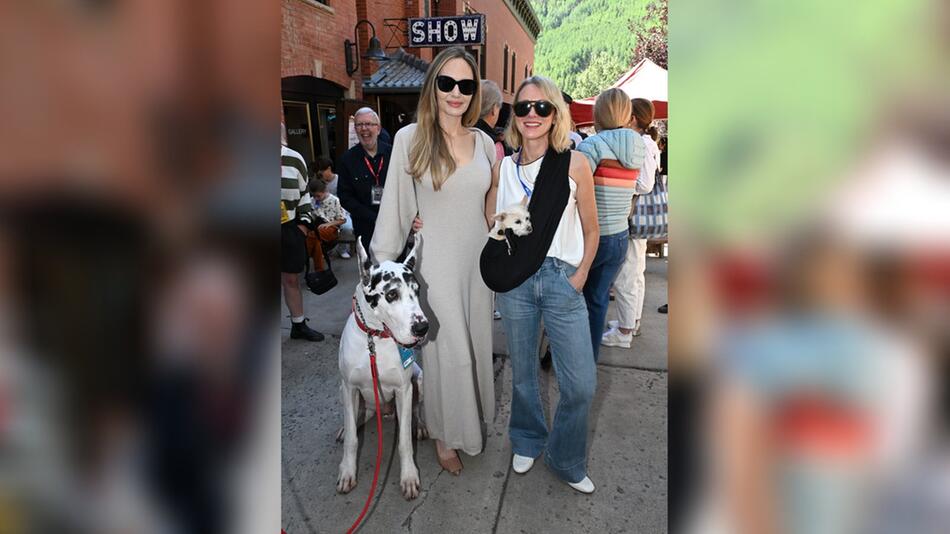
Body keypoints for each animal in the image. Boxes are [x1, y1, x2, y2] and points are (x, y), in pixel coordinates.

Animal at [340, 237, 430, 500]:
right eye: (391, 294)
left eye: (417, 291)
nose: (423, 328)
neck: (375, 340)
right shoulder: (349, 387)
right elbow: (352, 439)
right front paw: (347, 472)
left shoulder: (404, 389)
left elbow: (404, 442)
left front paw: (409, 477)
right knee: (359, 416)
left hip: (420, 380)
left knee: (416, 410)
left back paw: (420, 425)